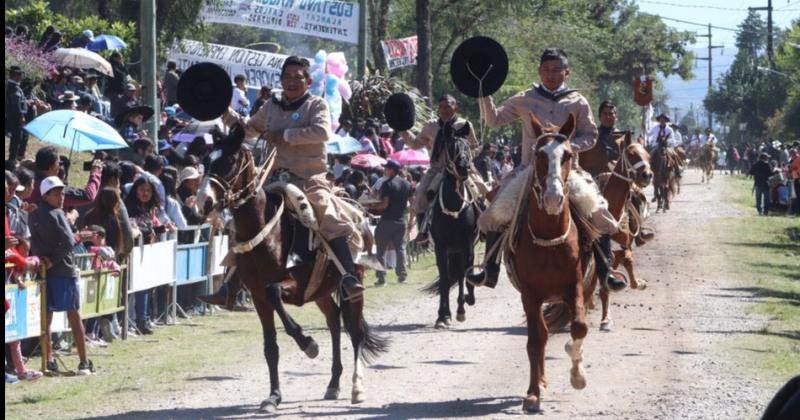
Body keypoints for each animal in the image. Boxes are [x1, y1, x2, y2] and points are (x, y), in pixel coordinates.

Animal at [198, 125, 390, 414]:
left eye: (229, 161)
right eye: (206, 160)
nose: (203, 202)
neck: (267, 232)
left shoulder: (293, 288)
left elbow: (275, 292)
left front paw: (308, 344)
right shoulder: (258, 296)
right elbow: (270, 347)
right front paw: (273, 397)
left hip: (353, 285)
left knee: (354, 331)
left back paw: (356, 388)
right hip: (322, 291)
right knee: (334, 322)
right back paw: (333, 383)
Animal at [510, 112, 592, 414]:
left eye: (567, 154)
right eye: (539, 154)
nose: (553, 197)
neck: (549, 237)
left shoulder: (576, 286)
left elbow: (579, 326)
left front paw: (578, 375)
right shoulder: (530, 295)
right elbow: (535, 341)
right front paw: (533, 394)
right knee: (542, 335)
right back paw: (541, 382)